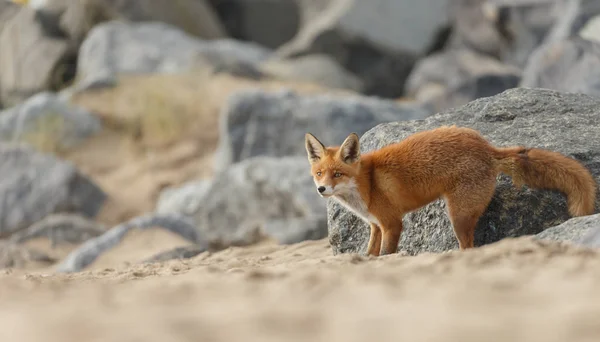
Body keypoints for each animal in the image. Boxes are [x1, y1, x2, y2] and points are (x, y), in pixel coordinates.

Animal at [308, 124, 596, 255]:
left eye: (338, 174)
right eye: (319, 173)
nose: (321, 189)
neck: (368, 184)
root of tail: (487, 147)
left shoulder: (392, 224)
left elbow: (385, 255)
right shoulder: (375, 226)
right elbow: (369, 254)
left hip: (458, 217)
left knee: (468, 248)